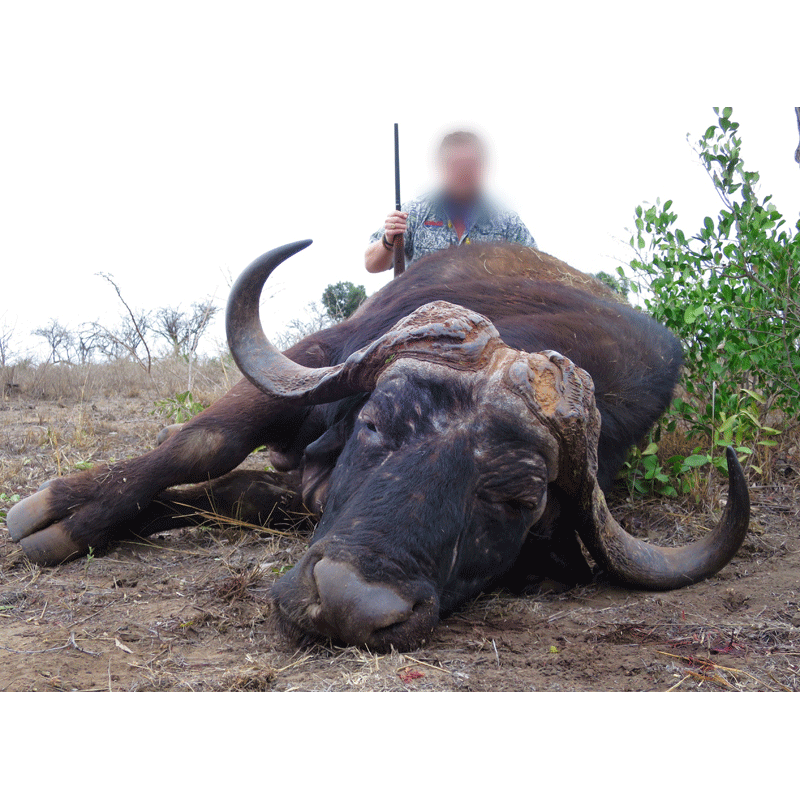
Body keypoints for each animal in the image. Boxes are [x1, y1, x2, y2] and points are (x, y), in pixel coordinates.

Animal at [7, 242, 752, 648]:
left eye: (518, 498)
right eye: (375, 424)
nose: (346, 602)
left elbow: (230, 493)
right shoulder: (315, 359)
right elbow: (202, 444)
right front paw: (63, 513)